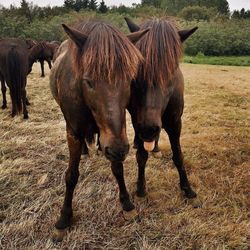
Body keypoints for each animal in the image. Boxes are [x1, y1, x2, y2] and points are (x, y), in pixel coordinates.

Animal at [50, 20, 148, 240]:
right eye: (88, 81)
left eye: (130, 80)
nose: (117, 149)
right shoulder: (74, 133)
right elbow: (71, 175)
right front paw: (64, 218)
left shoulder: (115, 136)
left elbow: (117, 169)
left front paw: (126, 204)